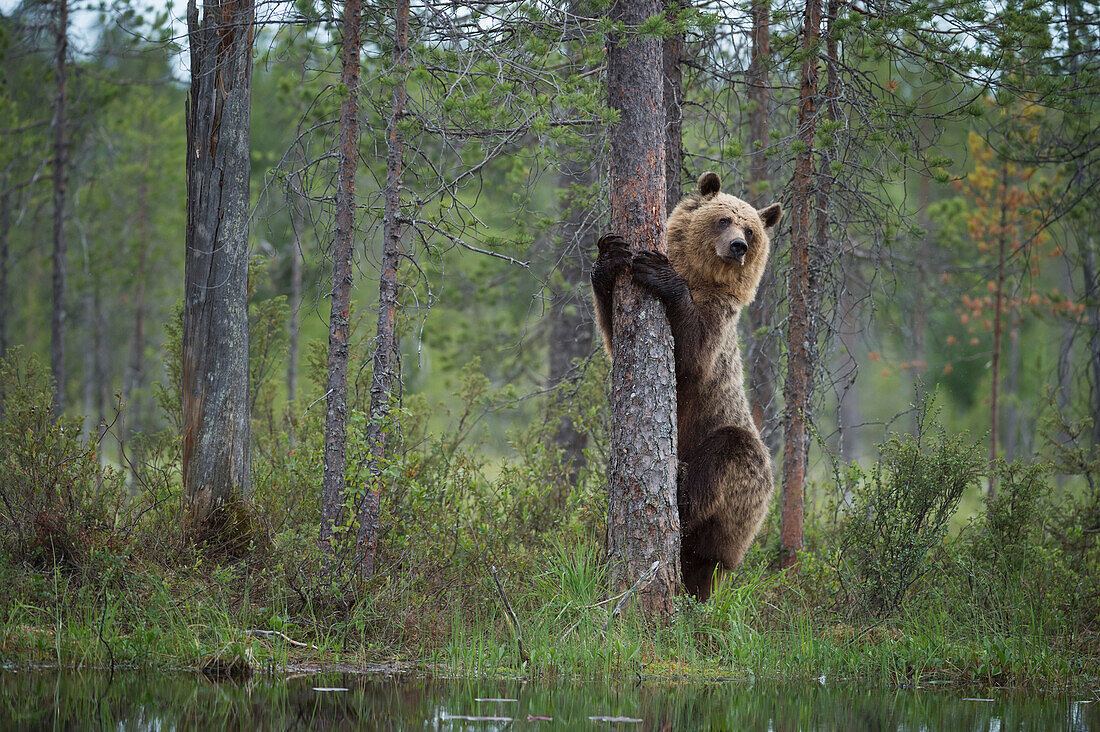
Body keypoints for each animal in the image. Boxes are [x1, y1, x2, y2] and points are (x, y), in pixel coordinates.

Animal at [594, 169, 783, 598]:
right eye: (723, 219)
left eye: (750, 228)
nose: (738, 246)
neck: (702, 279)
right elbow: (612, 333)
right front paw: (609, 255)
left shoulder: (718, 319)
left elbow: (692, 358)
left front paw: (659, 272)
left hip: (745, 487)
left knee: (724, 460)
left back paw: (680, 494)